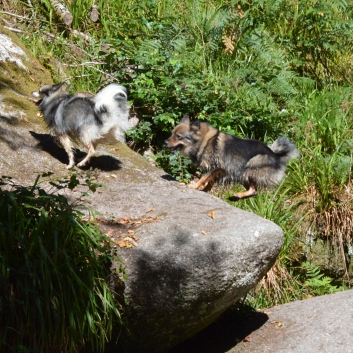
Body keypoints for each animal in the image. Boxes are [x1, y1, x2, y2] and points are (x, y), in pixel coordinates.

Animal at [165, 115, 296, 199]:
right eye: (171, 134)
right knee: (254, 192)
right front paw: (205, 190)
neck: (203, 141)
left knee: (254, 190)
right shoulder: (221, 170)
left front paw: (195, 186)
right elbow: (210, 181)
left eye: (178, 136)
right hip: (241, 175)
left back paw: (238, 195)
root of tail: (276, 155)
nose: (165, 142)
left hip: (248, 169)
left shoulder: (215, 167)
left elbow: (203, 178)